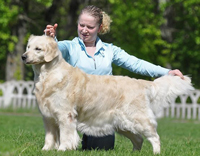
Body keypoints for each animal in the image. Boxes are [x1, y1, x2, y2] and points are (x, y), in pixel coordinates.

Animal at [20, 35, 194, 154]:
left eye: (38, 49)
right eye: (28, 47)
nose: (23, 56)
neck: (47, 75)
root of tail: (140, 83)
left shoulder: (65, 115)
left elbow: (66, 135)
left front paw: (62, 149)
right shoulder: (48, 116)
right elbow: (50, 136)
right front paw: (46, 150)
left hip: (138, 118)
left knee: (154, 136)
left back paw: (156, 153)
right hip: (123, 123)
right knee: (138, 139)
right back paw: (134, 153)